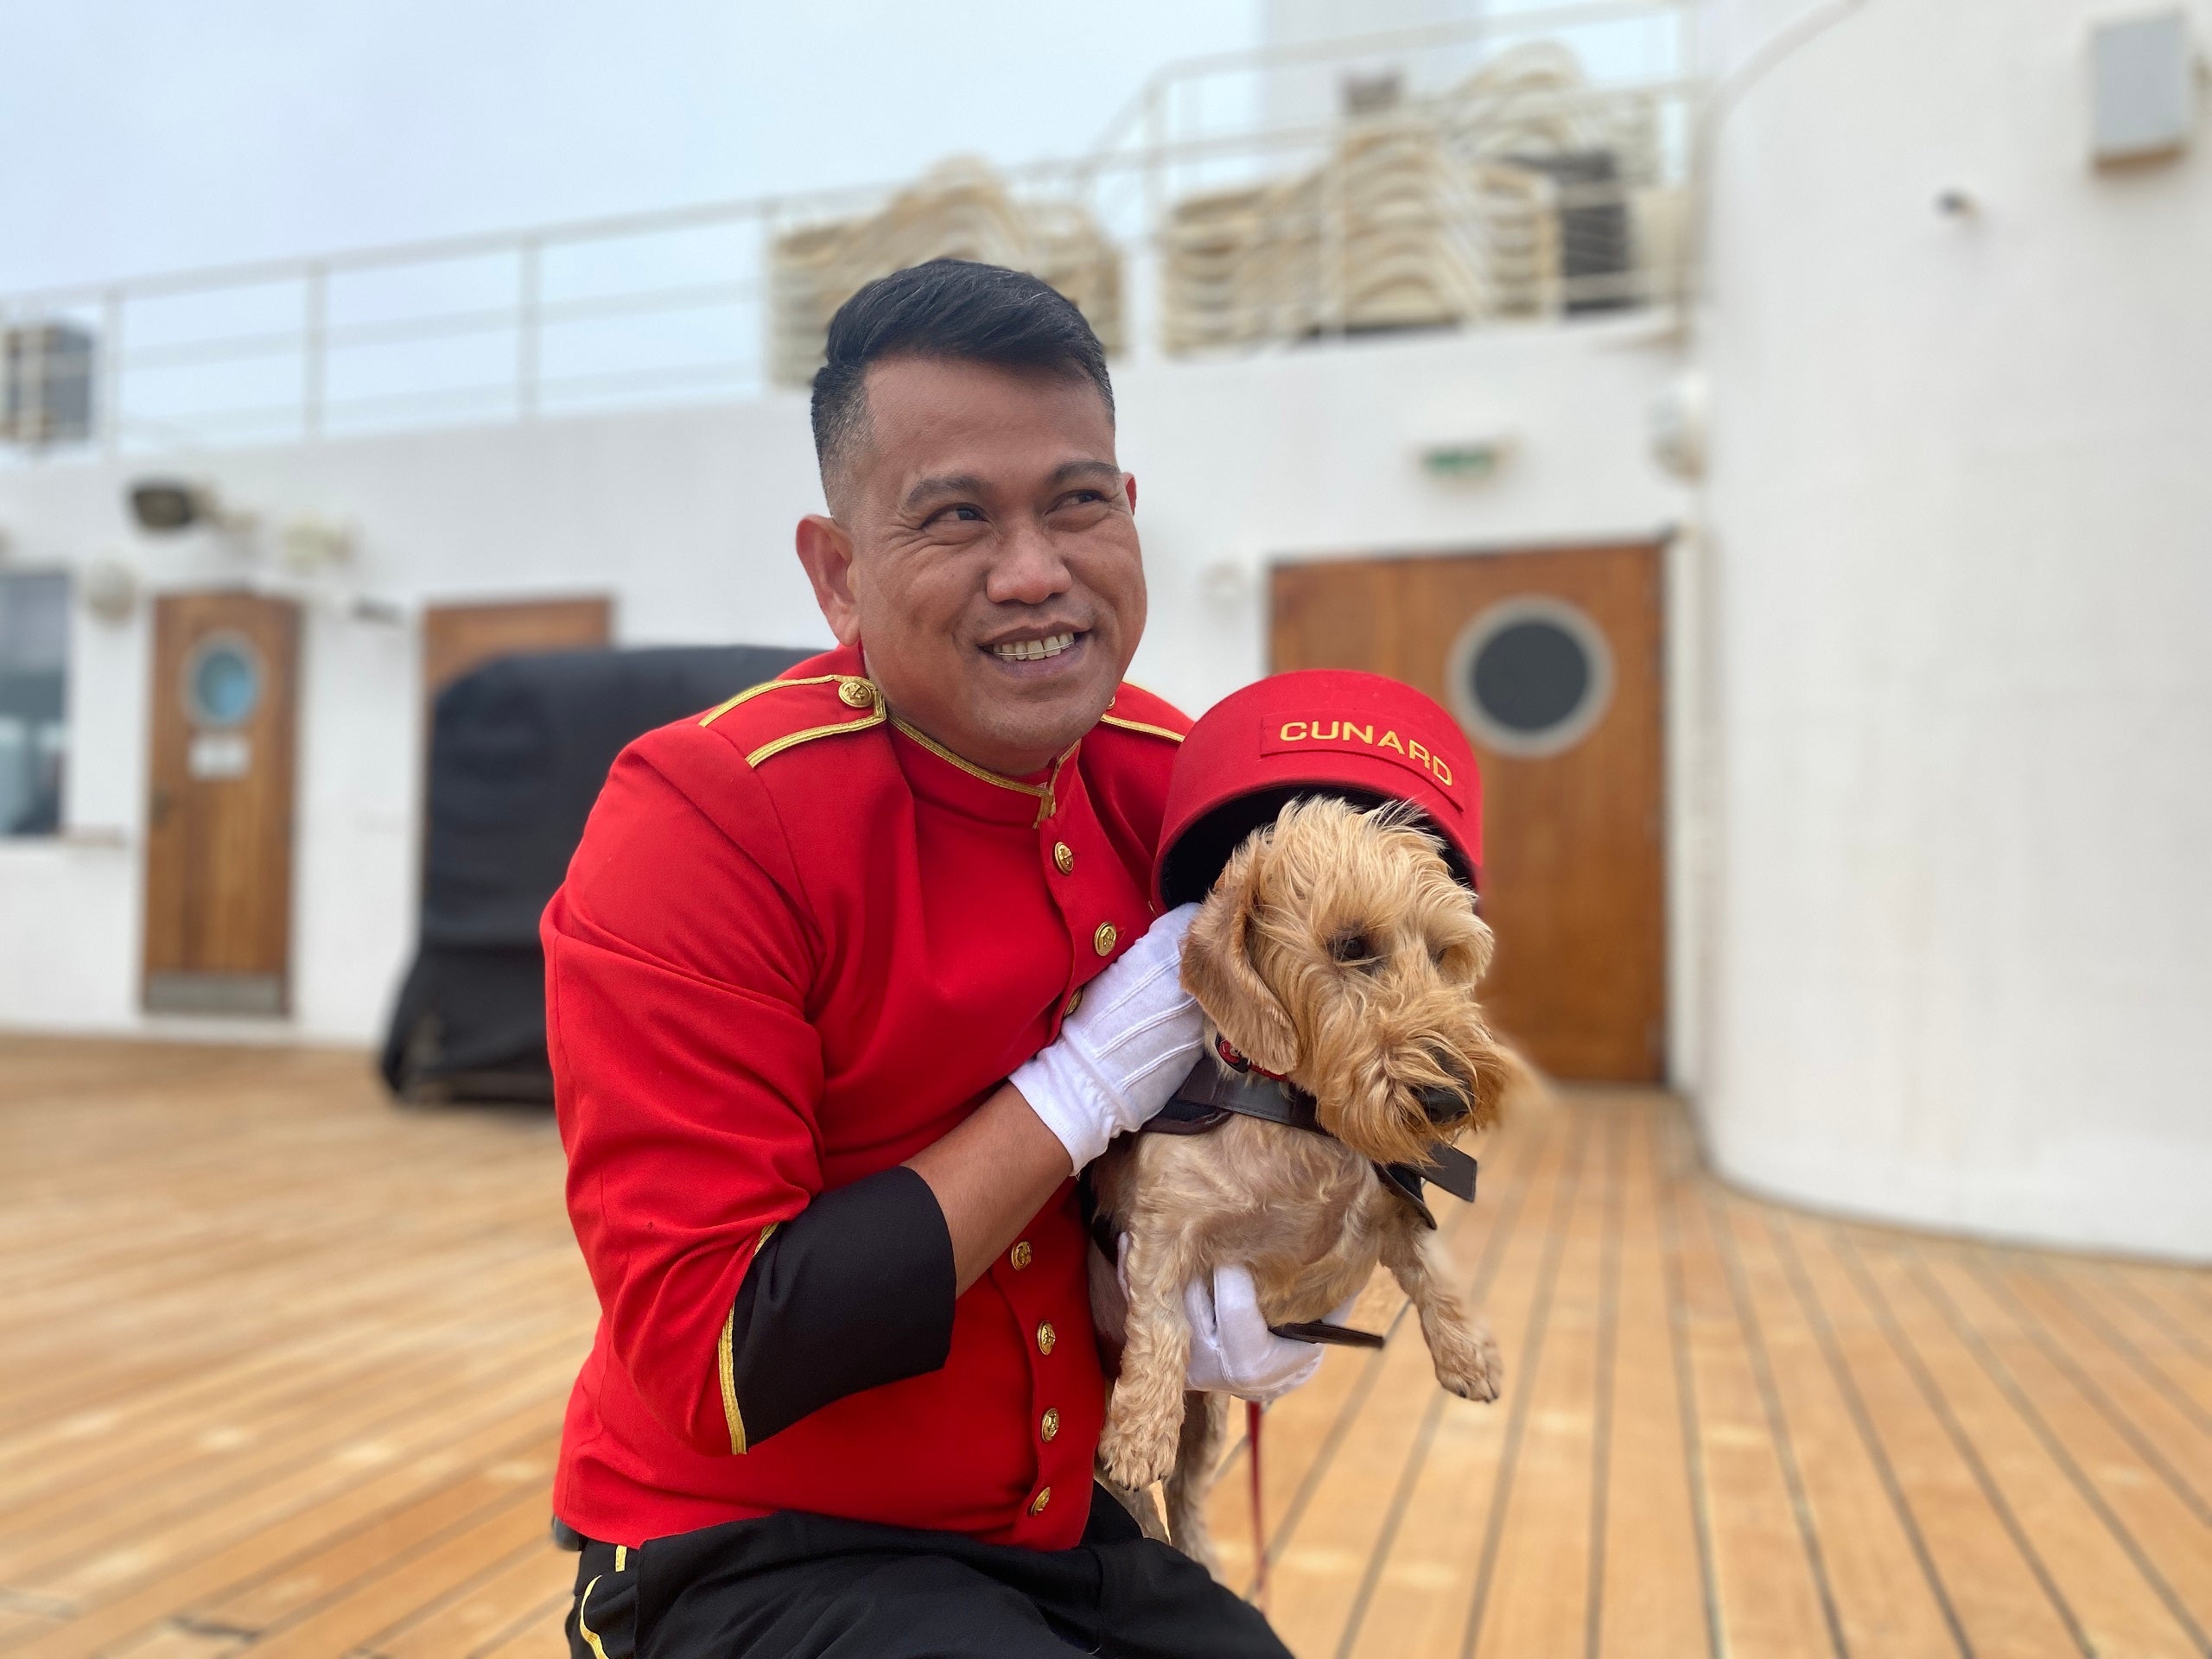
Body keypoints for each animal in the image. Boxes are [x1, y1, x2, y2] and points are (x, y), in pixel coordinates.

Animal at [1092, 796, 1522, 1574]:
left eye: (1444, 954)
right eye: (1350, 945)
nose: (1453, 1098)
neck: (1302, 1122)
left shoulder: (1395, 1207)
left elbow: (1436, 1271)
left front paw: (1470, 1355)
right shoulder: (1162, 1232)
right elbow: (1161, 1326)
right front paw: (1138, 1433)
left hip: (1211, 1420)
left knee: (1189, 1494)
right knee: (1142, 1505)